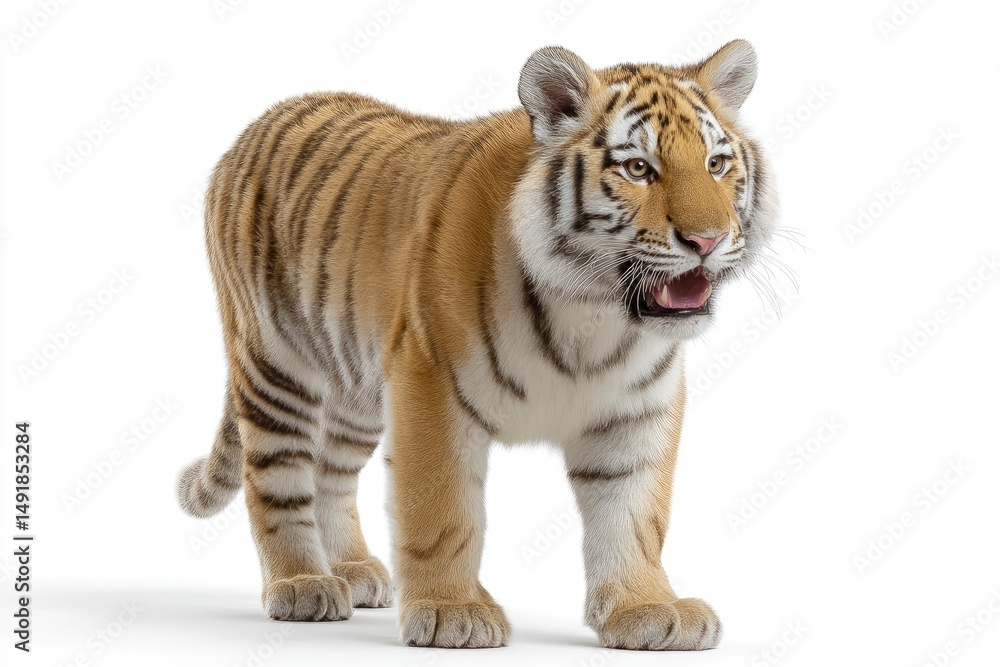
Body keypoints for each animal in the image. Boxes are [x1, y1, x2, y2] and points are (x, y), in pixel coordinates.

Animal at [177, 39, 778, 650]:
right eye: (638, 168)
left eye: (716, 164)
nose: (707, 240)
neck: (594, 313)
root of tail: (259, 122)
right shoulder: (430, 383)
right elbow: (442, 509)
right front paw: (452, 611)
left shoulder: (637, 409)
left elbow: (634, 514)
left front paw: (648, 608)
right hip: (276, 364)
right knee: (275, 478)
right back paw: (303, 583)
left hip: (357, 388)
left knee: (332, 473)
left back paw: (353, 571)